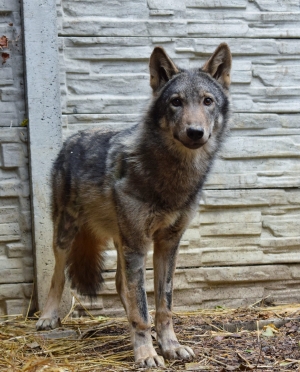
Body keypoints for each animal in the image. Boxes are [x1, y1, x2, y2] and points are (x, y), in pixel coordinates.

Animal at [35, 42, 232, 366]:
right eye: (176, 102)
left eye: (207, 101)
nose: (195, 132)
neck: (172, 177)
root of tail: (72, 139)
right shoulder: (138, 245)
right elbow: (142, 307)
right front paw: (146, 353)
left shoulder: (167, 244)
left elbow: (163, 305)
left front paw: (170, 346)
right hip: (68, 234)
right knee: (58, 275)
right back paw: (48, 317)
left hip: (122, 241)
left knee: (120, 283)